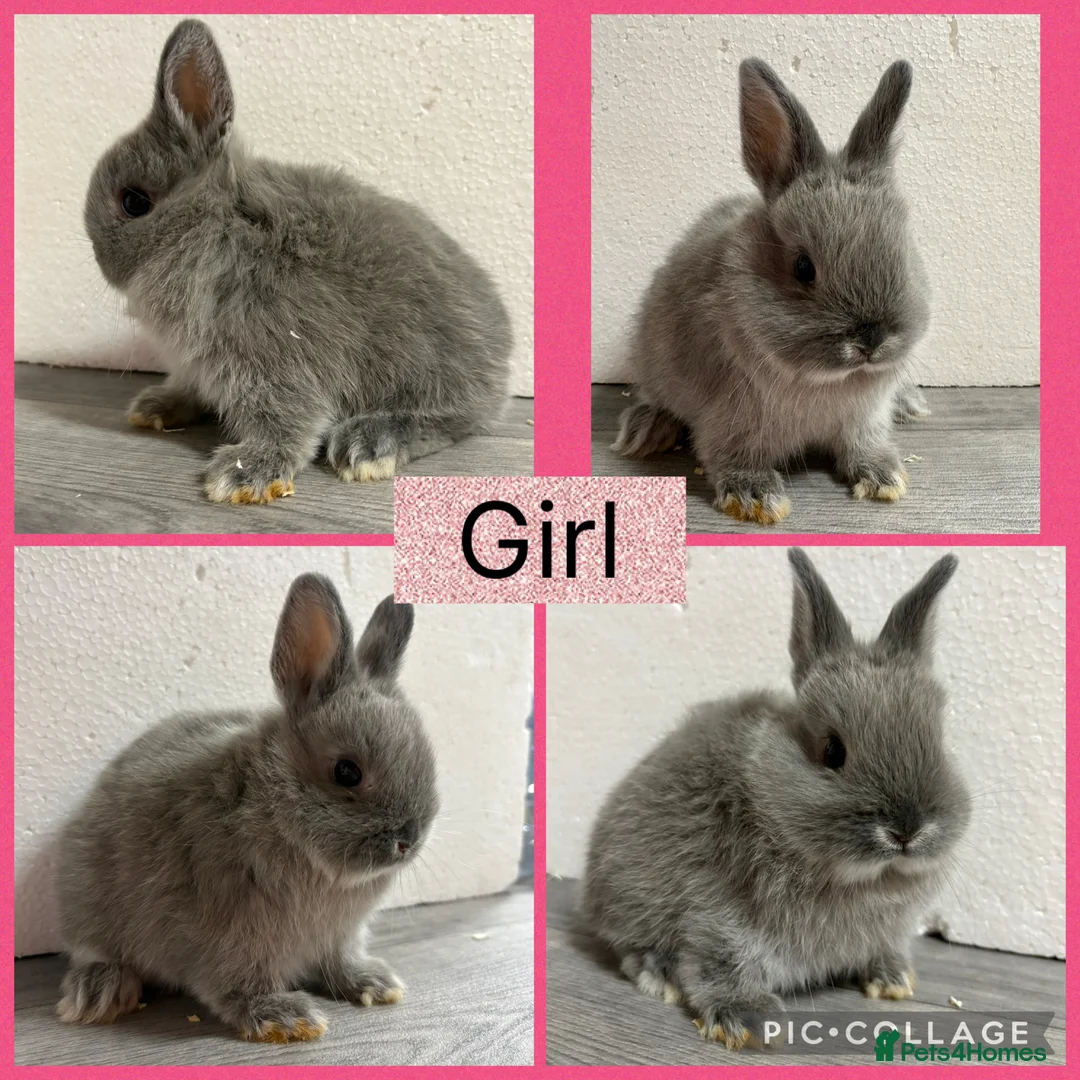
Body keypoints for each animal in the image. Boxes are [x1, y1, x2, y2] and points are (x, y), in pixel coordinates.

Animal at [54, 574, 438, 1043]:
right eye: (347, 772)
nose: (407, 841)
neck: (274, 807)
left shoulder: (339, 936)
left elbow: (339, 962)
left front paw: (374, 983)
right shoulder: (229, 937)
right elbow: (236, 984)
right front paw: (286, 1017)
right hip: (86, 902)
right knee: (90, 951)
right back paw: (99, 993)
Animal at [84, 19, 512, 505]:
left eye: (133, 203)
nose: (100, 259)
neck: (213, 227)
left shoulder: (273, 355)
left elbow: (287, 420)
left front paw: (245, 474)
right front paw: (157, 406)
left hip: (425, 367)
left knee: (455, 418)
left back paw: (370, 445)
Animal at [583, 549, 970, 1050]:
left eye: (939, 742)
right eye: (832, 751)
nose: (907, 830)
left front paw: (893, 979)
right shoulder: (716, 914)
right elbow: (718, 962)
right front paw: (748, 1020)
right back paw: (659, 974)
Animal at [613, 58, 931, 525]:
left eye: (905, 252)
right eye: (803, 267)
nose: (871, 340)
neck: (826, 381)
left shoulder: (864, 419)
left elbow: (865, 445)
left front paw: (883, 478)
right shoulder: (729, 419)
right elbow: (731, 457)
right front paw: (755, 498)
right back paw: (645, 429)